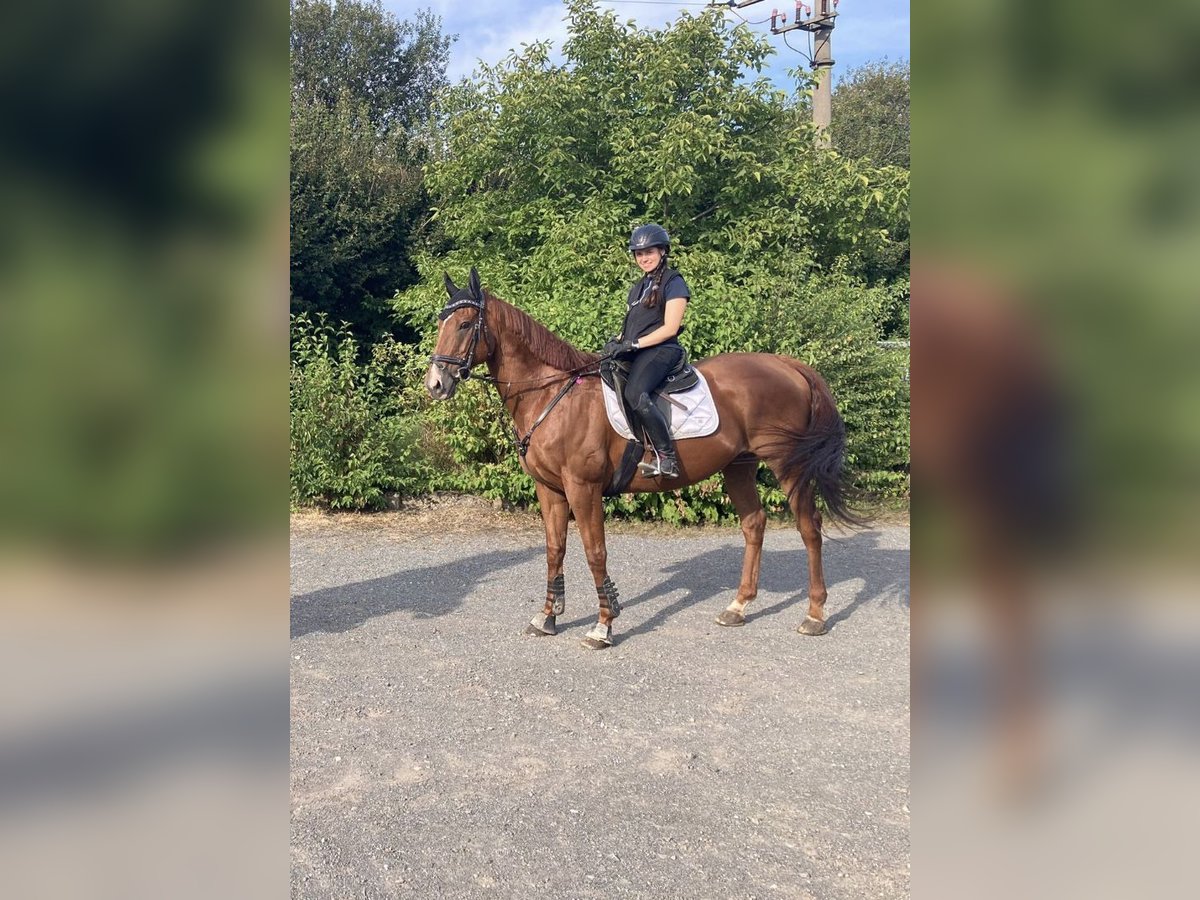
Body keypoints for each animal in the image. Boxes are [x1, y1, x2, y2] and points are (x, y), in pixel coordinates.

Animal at [427, 267, 859, 648]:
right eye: (441, 323)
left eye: (464, 325)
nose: (435, 384)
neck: (554, 395)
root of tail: (788, 364)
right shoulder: (550, 490)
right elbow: (554, 551)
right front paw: (548, 617)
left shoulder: (583, 489)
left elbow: (595, 552)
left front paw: (603, 626)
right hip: (739, 465)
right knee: (754, 524)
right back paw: (738, 607)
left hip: (788, 464)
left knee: (809, 527)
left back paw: (815, 614)